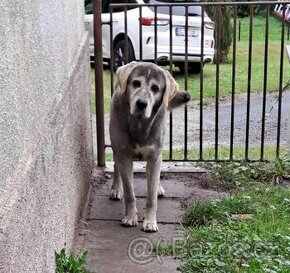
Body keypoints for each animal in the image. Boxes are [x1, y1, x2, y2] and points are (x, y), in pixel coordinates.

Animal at [109, 62, 190, 232]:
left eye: (155, 88)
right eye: (135, 83)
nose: (141, 103)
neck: (140, 124)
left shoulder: (154, 157)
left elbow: (151, 196)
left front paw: (150, 222)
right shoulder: (124, 156)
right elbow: (130, 193)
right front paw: (130, 217)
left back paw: (158, 187)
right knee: (115, 166)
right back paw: (116, 189)